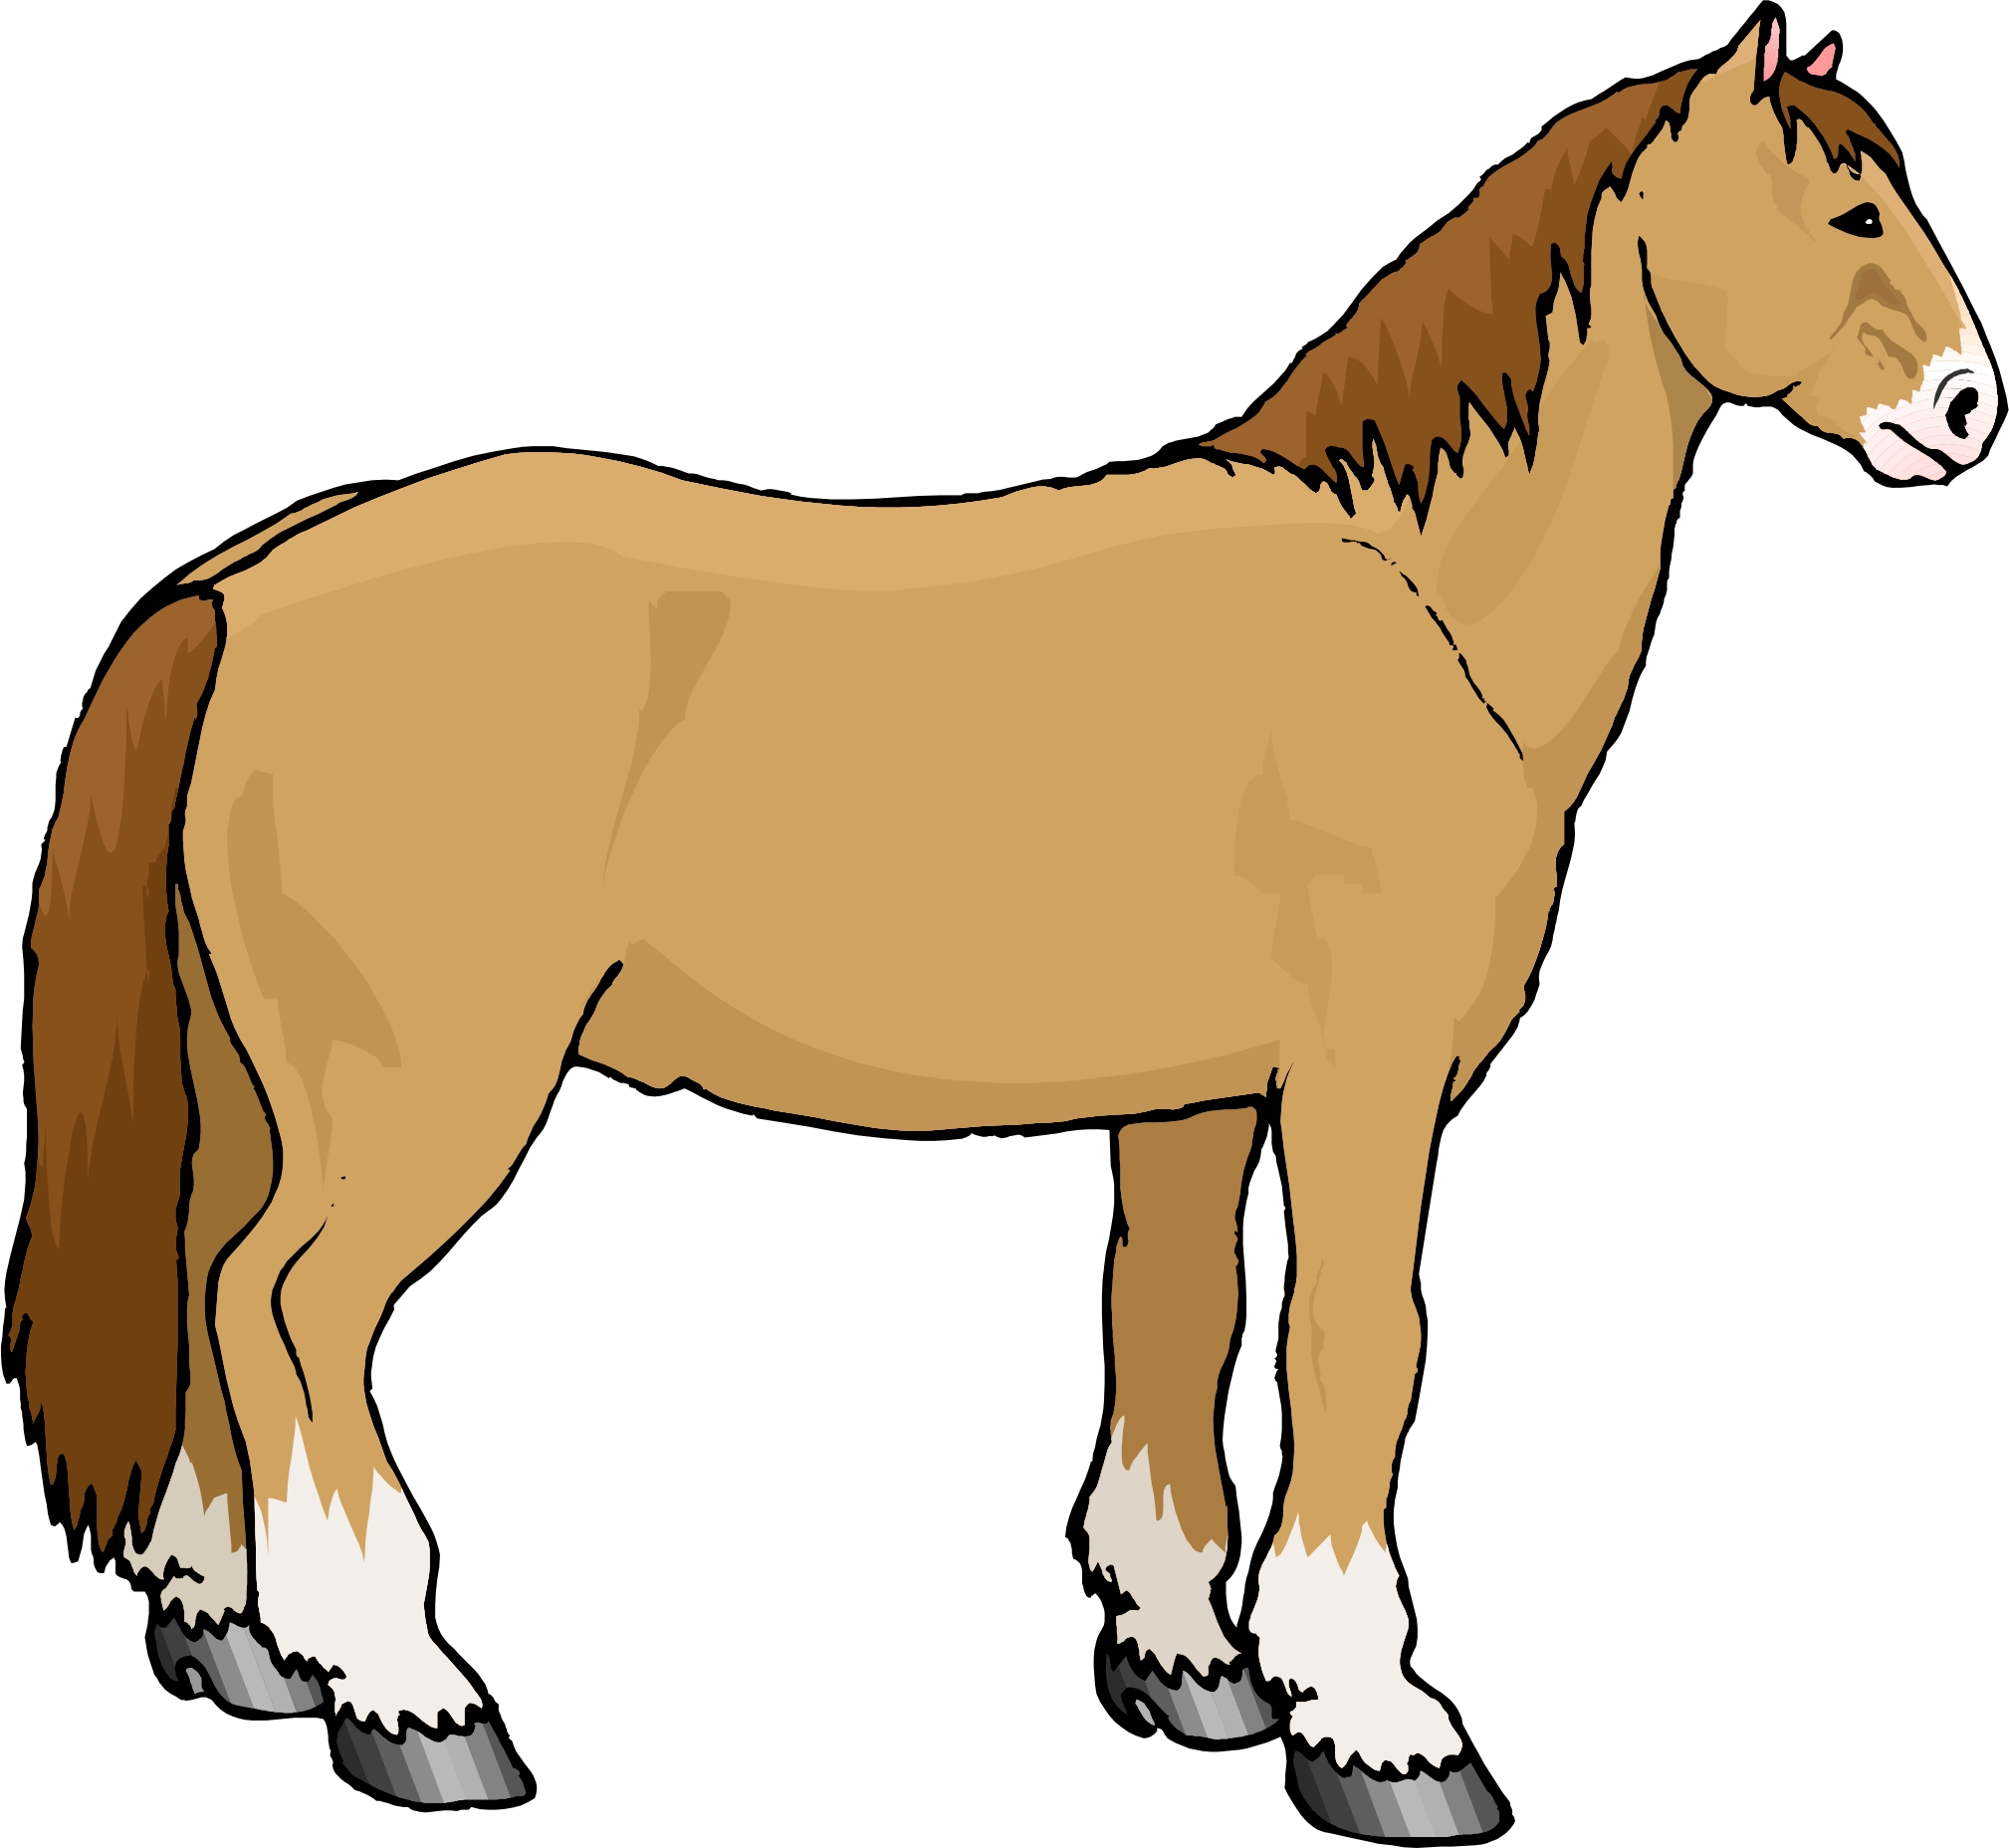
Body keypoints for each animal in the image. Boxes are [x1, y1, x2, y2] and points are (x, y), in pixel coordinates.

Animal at [7, 5, 1996, 1837]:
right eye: (1841, 207)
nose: (1967, 408)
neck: (1412, 604)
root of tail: (253, 580)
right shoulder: (1365, 1088)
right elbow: (1355, 1349)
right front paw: (1379, 1728)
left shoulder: (1198, 1101)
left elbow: (1175, 1326)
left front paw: (1190, 1662)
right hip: (423, 1100)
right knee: (292, 1312)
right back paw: (408, 1693)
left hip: (266, 1091)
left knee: (204, 1285)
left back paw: (242, 1640)